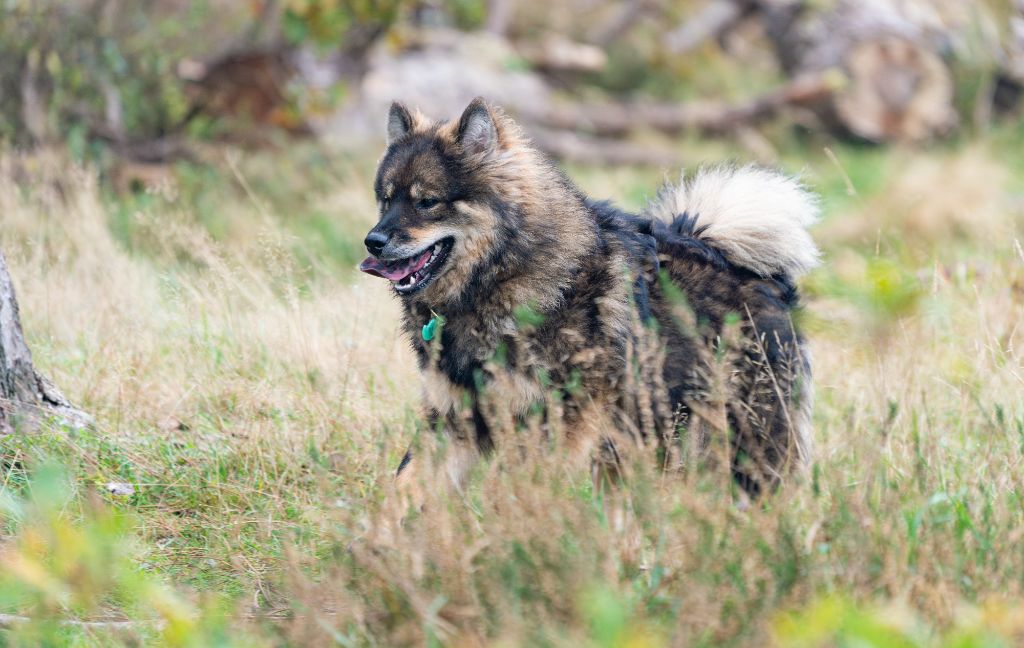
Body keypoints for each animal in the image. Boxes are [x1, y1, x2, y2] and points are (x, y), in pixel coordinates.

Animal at [360, 96, 815, 495]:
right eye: (386, 199)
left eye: (427, 202)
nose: (373, 242)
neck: (500, 277)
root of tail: (754, 271)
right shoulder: (453, 420)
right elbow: (403, 486)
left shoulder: (561, 423)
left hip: (739, 439)